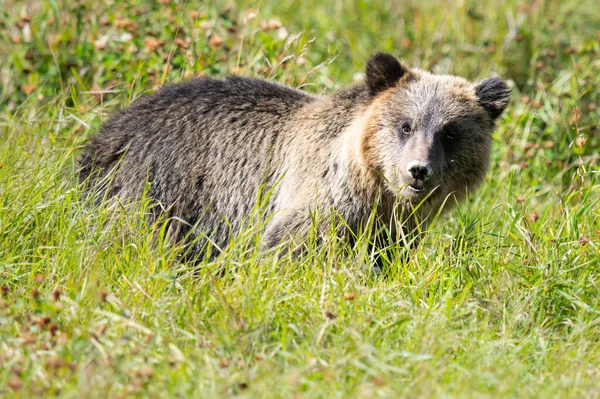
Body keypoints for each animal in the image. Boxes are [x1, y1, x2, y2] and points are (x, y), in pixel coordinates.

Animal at [78, 53, 510, 262]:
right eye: (405, 125)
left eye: (449, 133)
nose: (418, 171)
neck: (376, 194)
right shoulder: (320, 199)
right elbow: (292, 246)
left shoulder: (393, 230)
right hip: (157, 189)